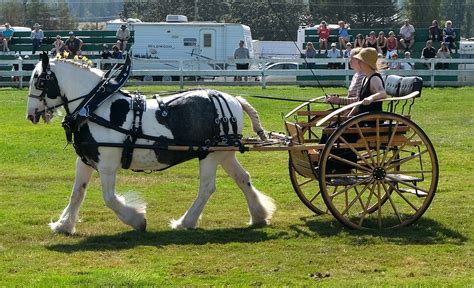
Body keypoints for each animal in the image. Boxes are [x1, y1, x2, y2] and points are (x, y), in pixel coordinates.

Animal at [25, 54, 276, 234]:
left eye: (39, 80)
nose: (30, 115)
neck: (93, 106)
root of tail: (234, 99)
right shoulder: (86, 161)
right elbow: (77, 193)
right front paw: (64, 225)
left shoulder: (107, 163)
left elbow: (109, 198)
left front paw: (137, 219)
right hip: (224, 153)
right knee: (243, 178)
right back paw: (258, 215)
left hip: (210, 154)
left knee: (207, 187)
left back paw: (186, 221)